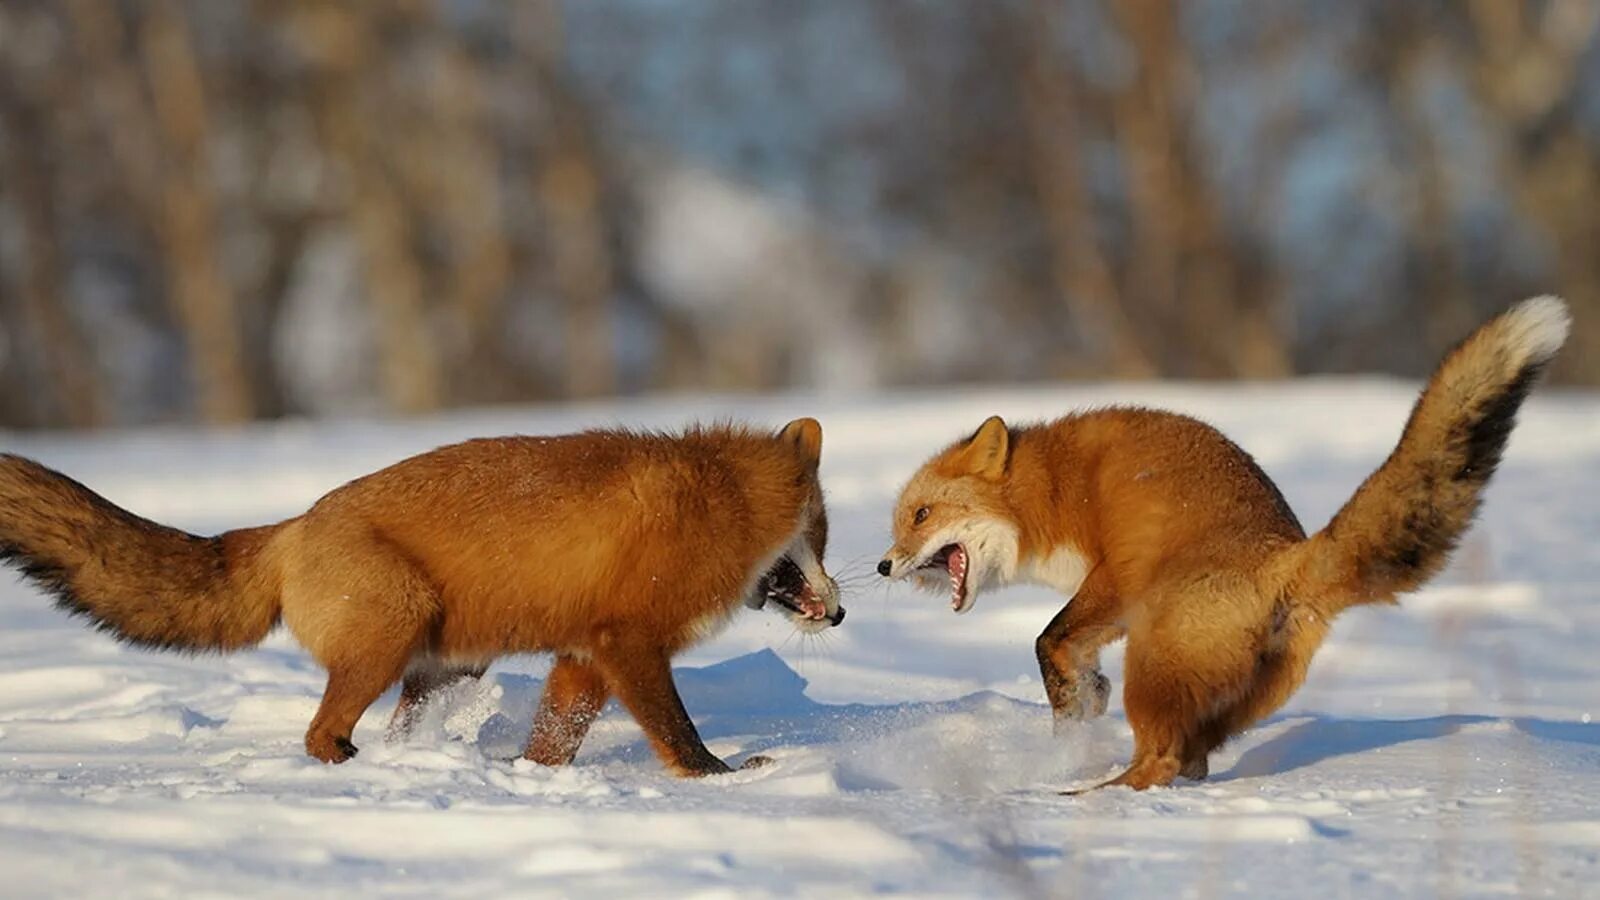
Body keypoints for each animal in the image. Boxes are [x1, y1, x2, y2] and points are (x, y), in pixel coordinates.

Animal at [0, 416, 844, 775]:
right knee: (317, 734)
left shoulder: (582, 655)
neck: (721, 504)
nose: (839, 611)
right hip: (390, 635)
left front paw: (533, 783)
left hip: (441, 666)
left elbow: (553, 739)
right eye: (822, 538)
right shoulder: (627, 640)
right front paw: (720, 780)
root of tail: (293, 525)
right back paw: (349, 772)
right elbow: (678, 733)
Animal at [876, 294, 1561, 784]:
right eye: (900, 523)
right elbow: (1070, 659)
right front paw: (1082, 706)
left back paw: (1083, 799)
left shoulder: (1115, 575)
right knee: (1189, 760)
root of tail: (1287, 557)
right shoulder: (1111, 606)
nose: (882, 567)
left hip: (1152, 663)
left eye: (921, 515)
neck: (1053, 489)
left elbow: (1050, 640)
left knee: (1160, 762)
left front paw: (1073, 719)